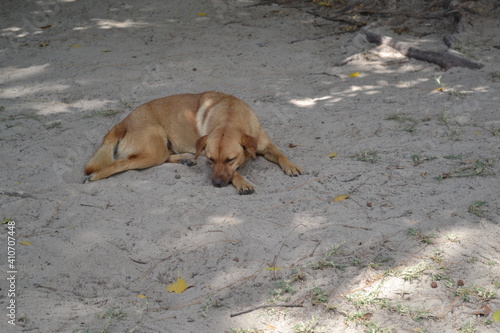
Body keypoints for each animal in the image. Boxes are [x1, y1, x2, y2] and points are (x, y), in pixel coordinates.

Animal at [83, 91, 300, 195]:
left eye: (230, 159)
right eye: (210, 160)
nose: (216, 184)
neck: (230, 115)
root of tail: (122, 123)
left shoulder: (265, 145)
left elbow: (280, 153)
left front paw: (291, 166)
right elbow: (236, 174)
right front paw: (242, 182)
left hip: (158, 150)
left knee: (164, 157)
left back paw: (185, 159)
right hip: (153, 149)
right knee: (120, 163)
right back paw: (94, 176)